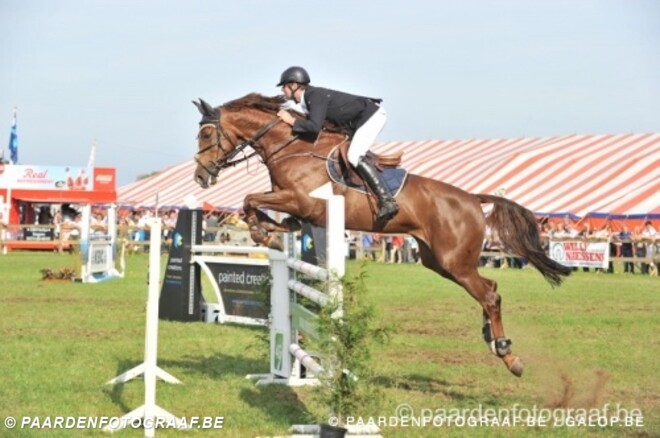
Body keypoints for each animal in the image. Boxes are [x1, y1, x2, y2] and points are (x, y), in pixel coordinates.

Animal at [192, 93, 572, 377]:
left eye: (207, 135)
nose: (200, 176)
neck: (289, 146)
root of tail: (472, 199)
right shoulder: (296, 206)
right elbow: (261, 208)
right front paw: (270, 232)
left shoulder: (302, 201)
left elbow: (249, 200)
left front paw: (263, 232)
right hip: (439, 261)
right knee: (490, 288)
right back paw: (493, 340)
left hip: (454, 260)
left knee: (489, 295)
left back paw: (509, 355)